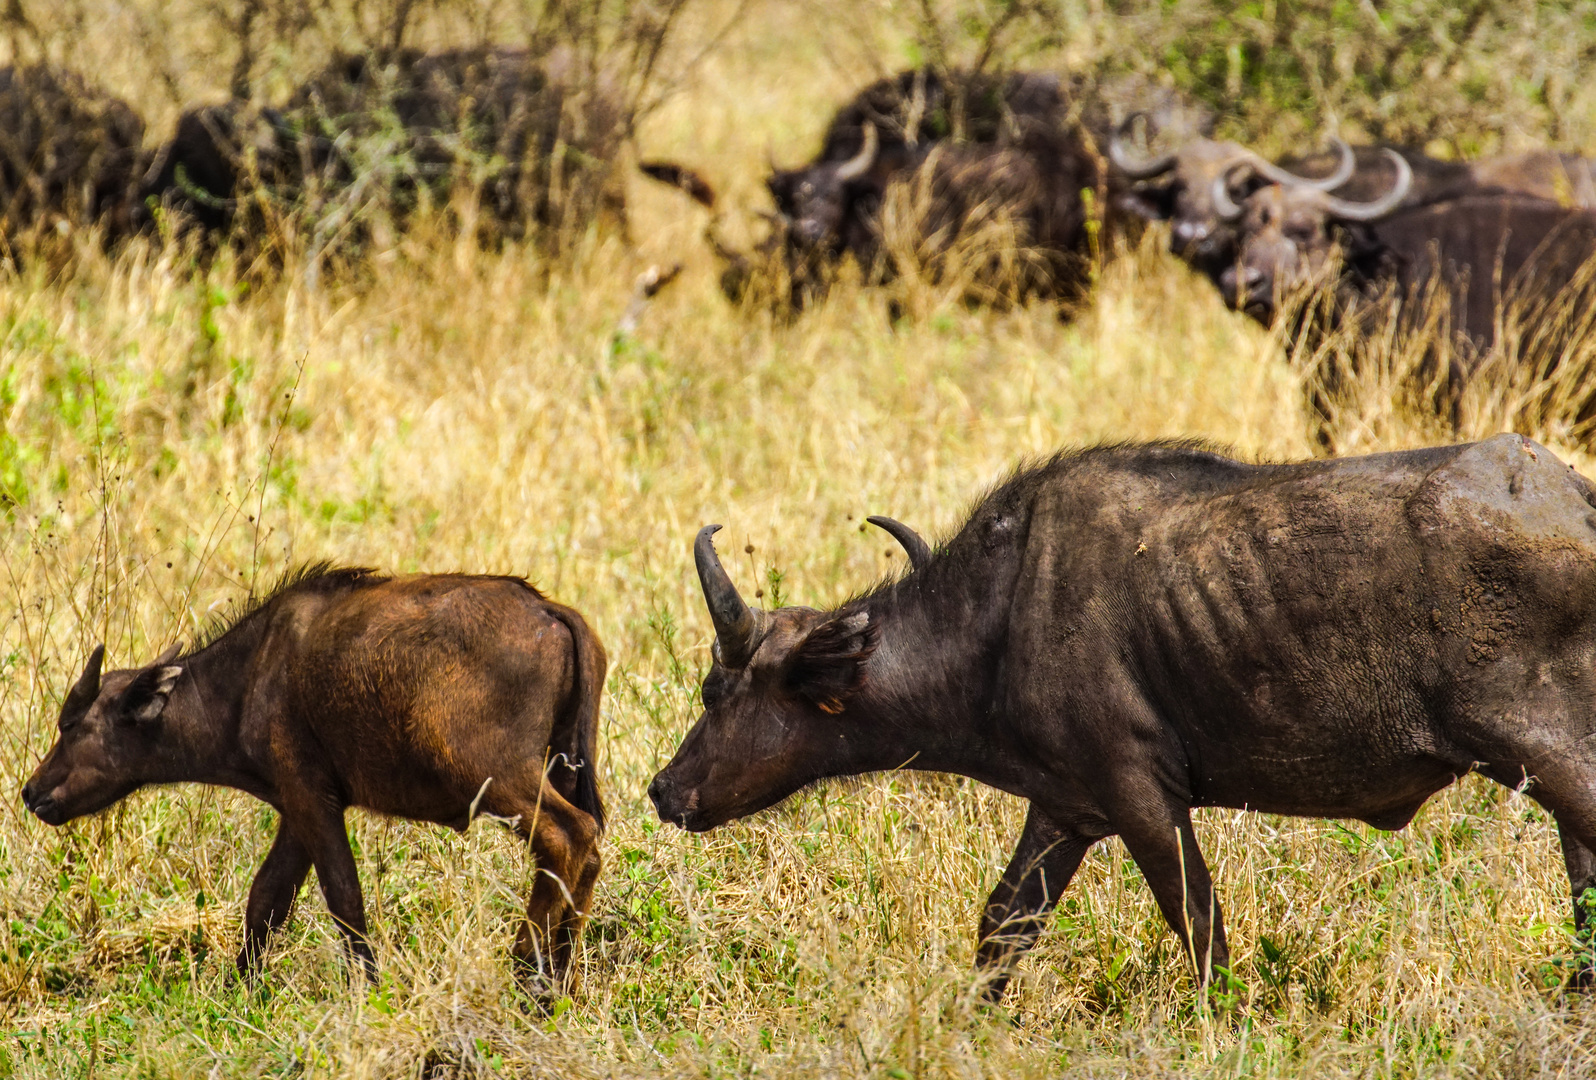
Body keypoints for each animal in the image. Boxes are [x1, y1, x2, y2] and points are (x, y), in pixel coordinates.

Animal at [21, 564, 606, 982]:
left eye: (72, 725)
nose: (31, 791)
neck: (249, 677)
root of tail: (548, 609)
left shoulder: (309, 797)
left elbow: (342, 895)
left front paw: (368, 987)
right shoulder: (298, 809)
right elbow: (266, 898)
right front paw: (241, 990)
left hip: (497, 778)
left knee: (566, 837)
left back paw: (527, 968)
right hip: (561, 768)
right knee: (592, 851)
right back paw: (559, 979)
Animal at [651, 437, 1596, 1001]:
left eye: (715, 692)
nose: (663, 791)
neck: (999, 619)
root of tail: (1573, 499)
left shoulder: (1142, 797)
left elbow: (1200, 925)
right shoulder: (1065, 809)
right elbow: (1003, 926)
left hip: (1552, 756)